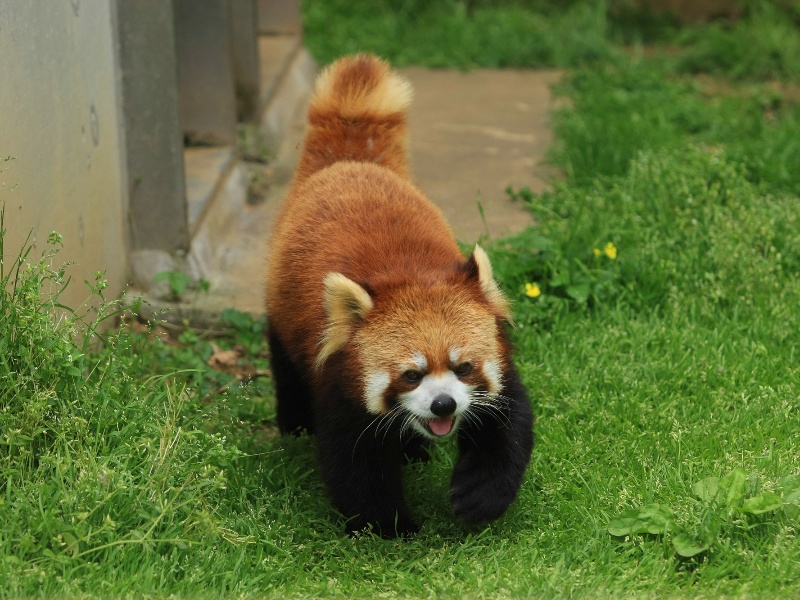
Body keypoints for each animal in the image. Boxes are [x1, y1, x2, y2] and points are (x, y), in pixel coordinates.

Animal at [266, 54, 536, 536]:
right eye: (411, 374)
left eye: (464, 367)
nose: (443, 403)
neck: (410, 277)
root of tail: (349, 162)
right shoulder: (339, 378)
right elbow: (355, 463)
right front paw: (391, 528)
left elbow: (506, 428)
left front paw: (479, 498)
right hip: (281, 305)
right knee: (285, 364)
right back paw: (294, 425)